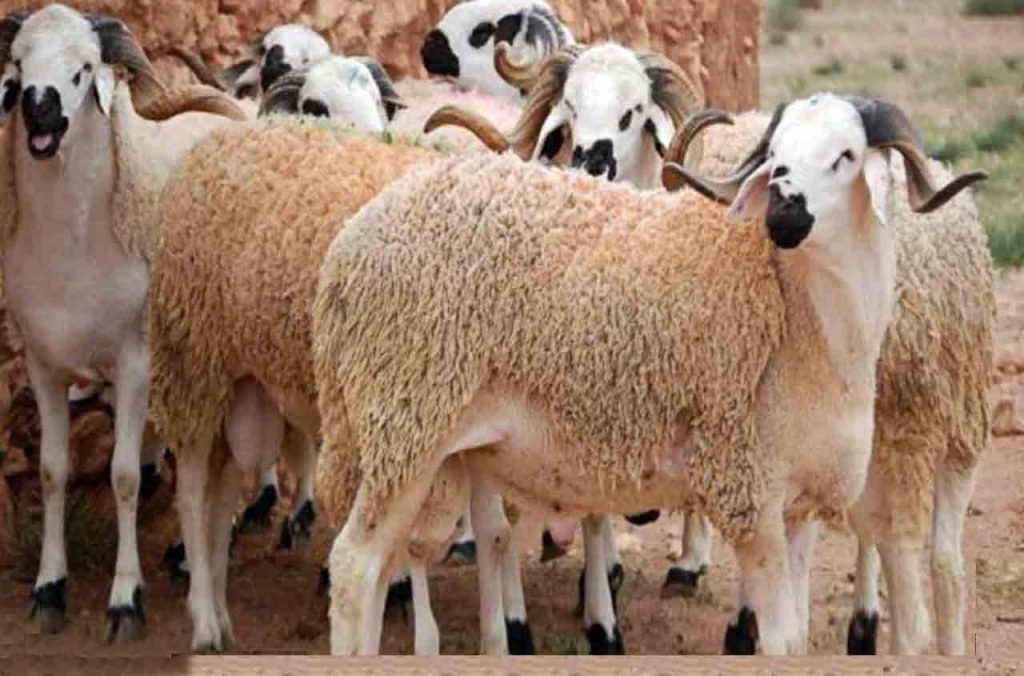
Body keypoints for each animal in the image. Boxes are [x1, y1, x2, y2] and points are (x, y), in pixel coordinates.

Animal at [0, 4, 244, 642]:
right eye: (18, 63)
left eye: (85, 69)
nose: (38, 107)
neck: (75, 248)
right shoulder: (43, 364)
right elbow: (54, 471)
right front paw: (49, 590)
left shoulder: (135, 366)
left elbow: (125, 477)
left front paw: (125, 600)